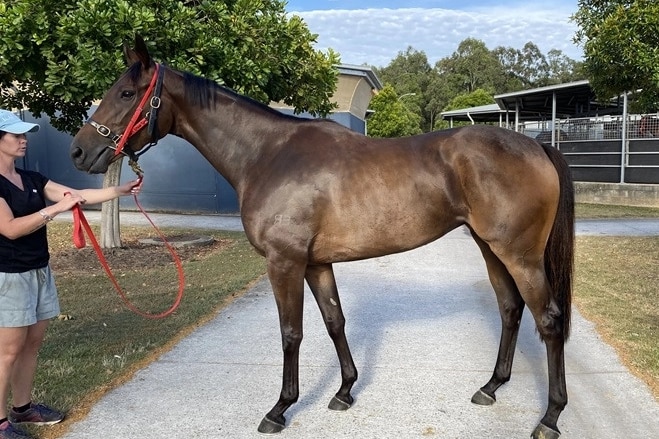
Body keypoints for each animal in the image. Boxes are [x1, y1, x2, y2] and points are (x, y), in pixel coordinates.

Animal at [68, 38, 572, 439]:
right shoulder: (316, 263)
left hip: (519, 255)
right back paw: (490, 387)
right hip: (491, 249)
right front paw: (345, 391)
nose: (78, 151)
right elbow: (334, 322)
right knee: (510, 310)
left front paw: (279, 409)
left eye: (126, 92)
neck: (268, 155)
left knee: (548, 320)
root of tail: (535, 144)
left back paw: (550, 417)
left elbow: (291, 332)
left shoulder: (284, 262)